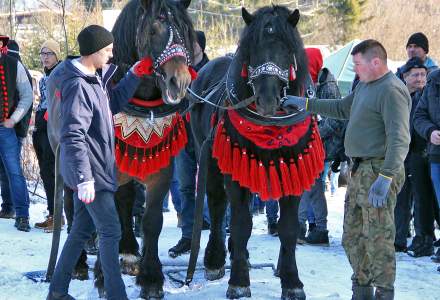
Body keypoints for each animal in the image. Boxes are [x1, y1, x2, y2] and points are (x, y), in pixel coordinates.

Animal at [189, 5, 324, 300]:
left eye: (287, 48)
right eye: (252, 48)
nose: (267, 99)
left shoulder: (293, 170)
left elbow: (288, 228)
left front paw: (291, 281)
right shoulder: (235, 170)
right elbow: (241, 223)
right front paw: (239, 281)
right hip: (212, 161)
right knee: (218, 207)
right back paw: (216, 260)